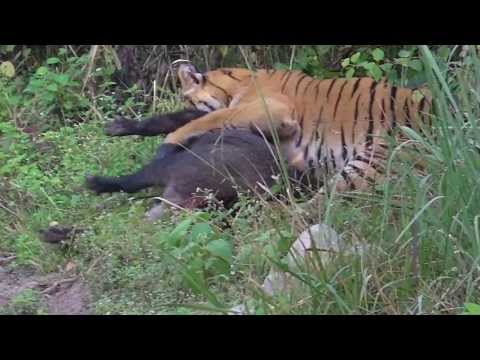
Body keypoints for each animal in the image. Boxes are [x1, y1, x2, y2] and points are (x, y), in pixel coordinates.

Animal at [104, 62, 432, 202]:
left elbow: (206, 119)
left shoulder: (270, 109)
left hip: (374, 163)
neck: (241, 81)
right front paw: (121, 126)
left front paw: (167, 146)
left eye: (187, 98)